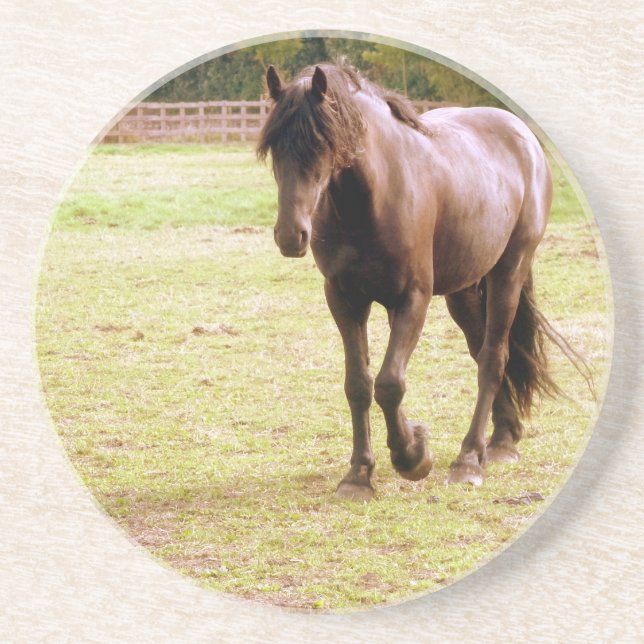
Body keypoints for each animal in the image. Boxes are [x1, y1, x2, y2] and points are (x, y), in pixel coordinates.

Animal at [257, 60, 567, 501]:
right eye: (273, 147)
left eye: (321, 144)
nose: (290, 234)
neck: (372, 199)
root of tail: (521, 134)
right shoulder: (345, 300)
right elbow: (360, 384)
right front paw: (361, 474)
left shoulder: (411, 299)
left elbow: (389, 383)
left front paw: (412, 456)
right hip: (463, 292)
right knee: (481, 352)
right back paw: (502, 439)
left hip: (509, 270)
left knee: (493, 358)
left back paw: (469, 460)